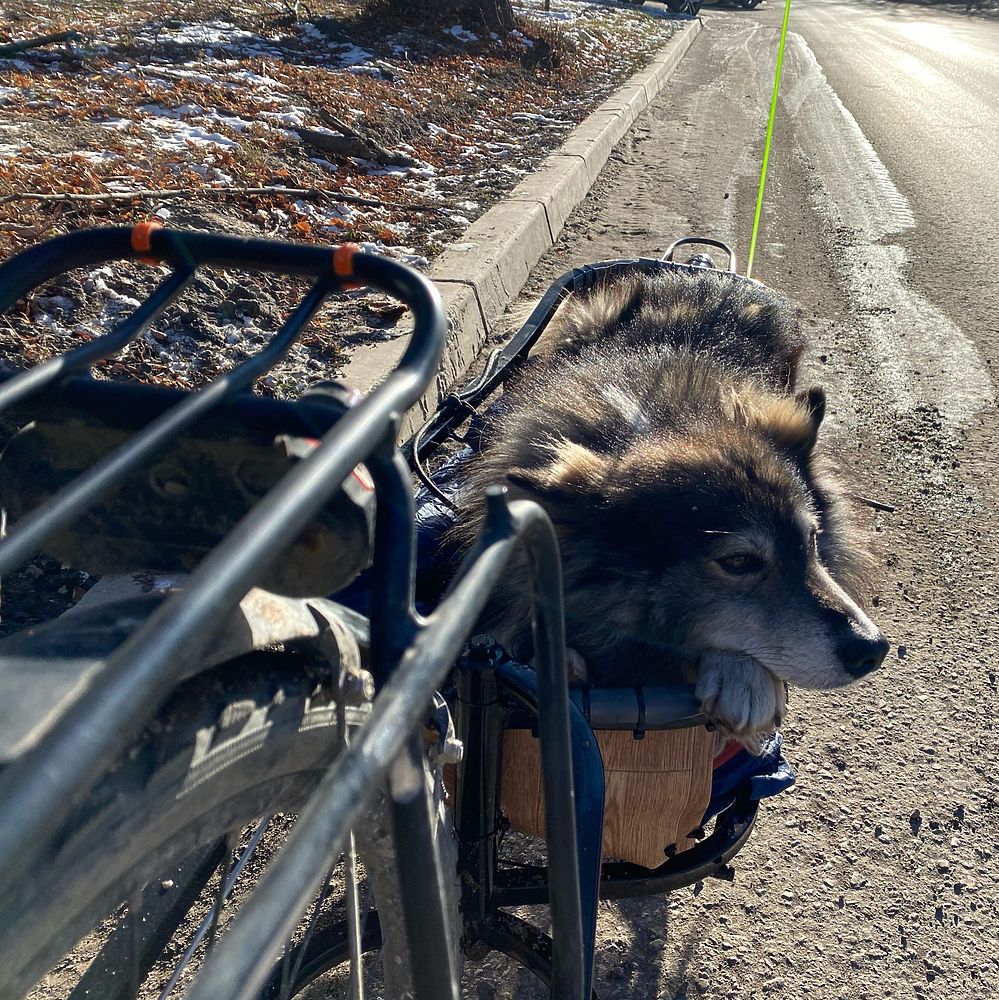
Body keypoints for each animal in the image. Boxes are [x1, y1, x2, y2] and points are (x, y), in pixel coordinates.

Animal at [454, 266, 892, 752]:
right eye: (738, 561)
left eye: (812, 541)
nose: (874, 649)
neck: (659, 419)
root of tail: (699, 272)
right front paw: (556, 663)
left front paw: (746, 682)